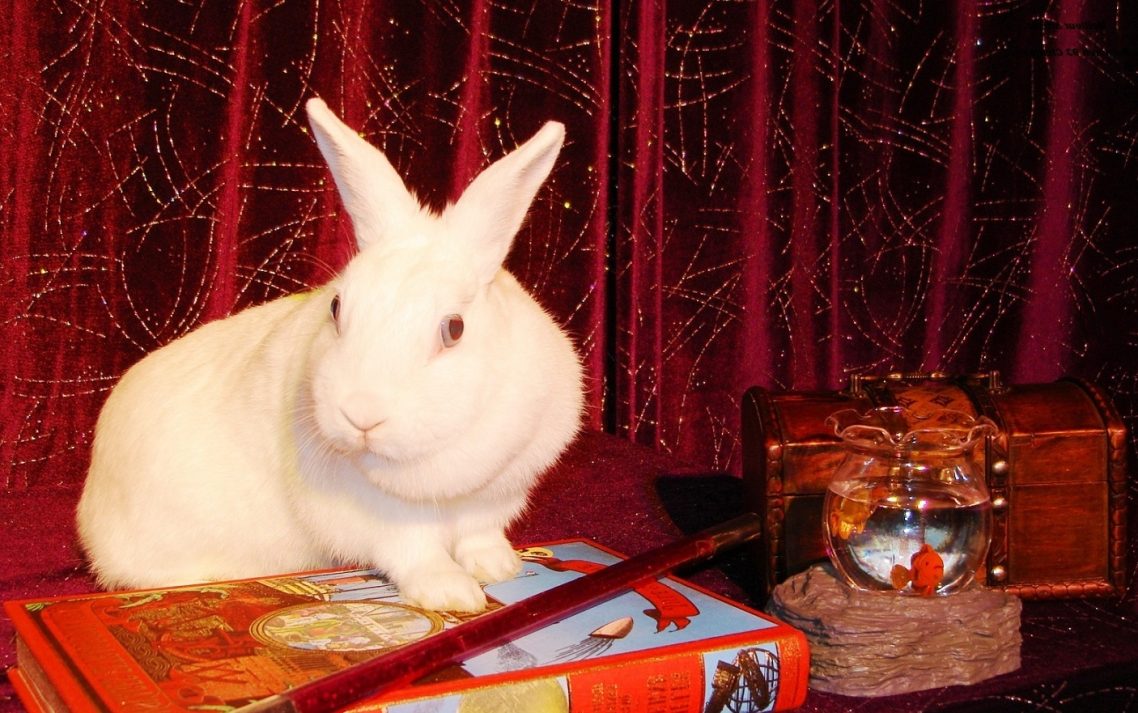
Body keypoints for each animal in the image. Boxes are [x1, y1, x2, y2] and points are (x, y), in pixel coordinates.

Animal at [75, 98, 584, 612]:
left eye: (454, 329)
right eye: (337, 308)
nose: (360, 415)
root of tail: (90, 502)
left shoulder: (493, 498)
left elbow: (481, 535)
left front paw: (501, 567)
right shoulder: (386, 523)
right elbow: (416, 554)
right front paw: (452, 594)